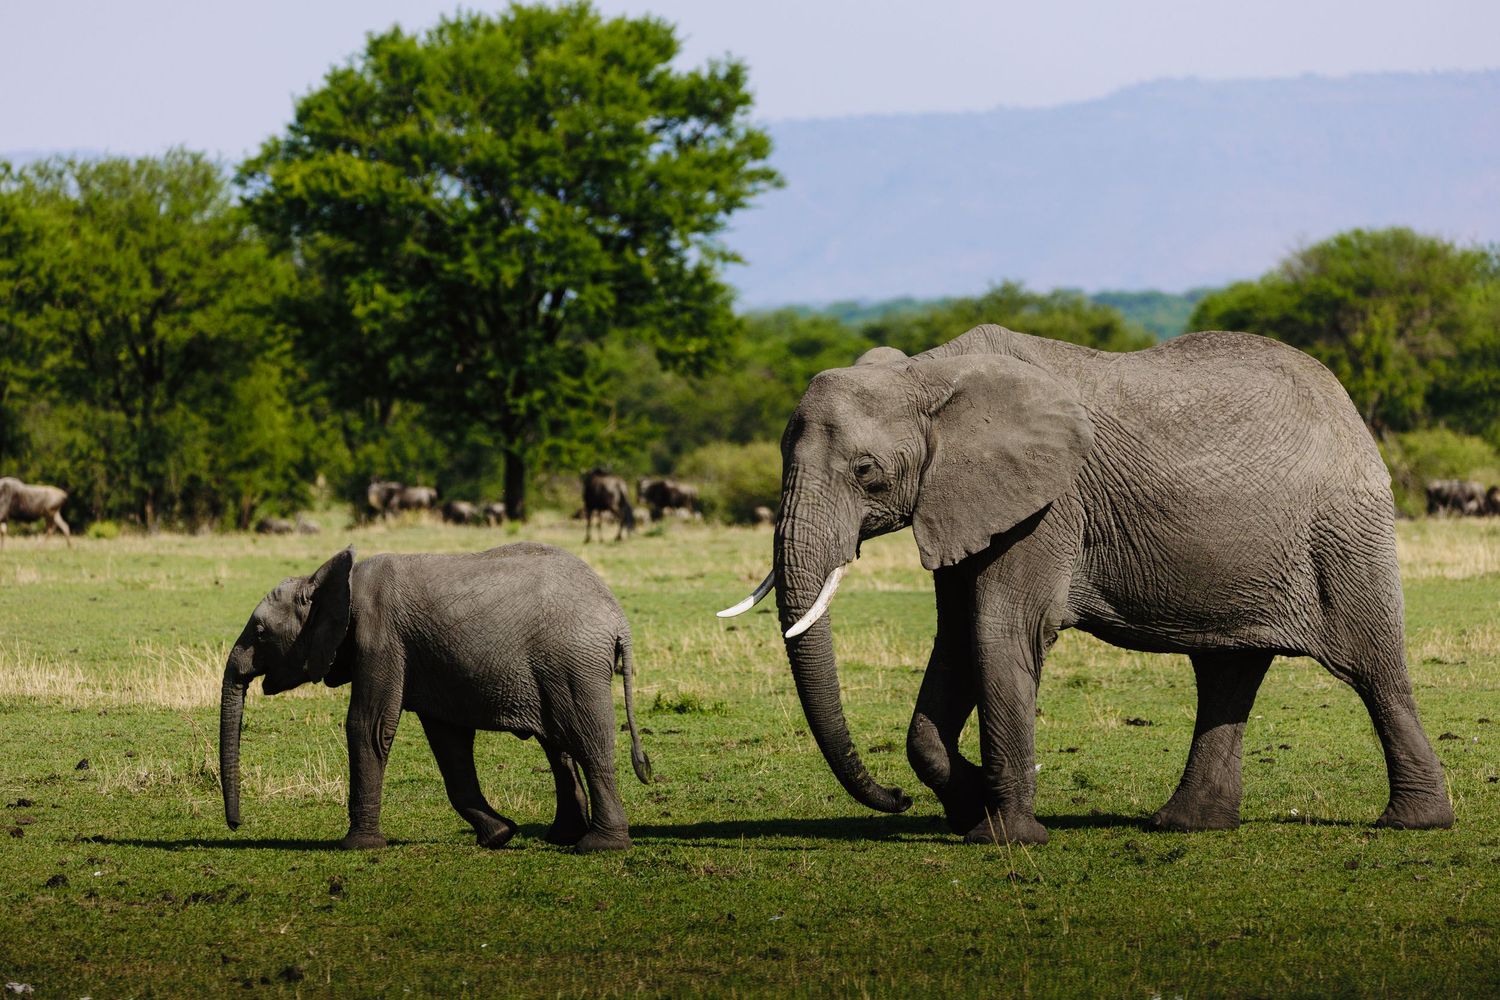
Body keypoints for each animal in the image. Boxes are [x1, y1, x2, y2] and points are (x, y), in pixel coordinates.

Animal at [219, 543, 652, 853]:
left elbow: (369, 727)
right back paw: (562, 837)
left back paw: (599, 847)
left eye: (260, 633)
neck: (333, 581)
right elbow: (448, 742)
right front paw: (499, 835)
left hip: (573, 663)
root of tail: (618, 617)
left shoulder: (380, 640)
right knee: (558, 744)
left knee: (587, 740)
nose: (236, 825)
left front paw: (357, 846)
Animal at [719, 325, 1454, 844]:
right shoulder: (963, 503)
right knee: (1226, 672)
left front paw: (1005, 836)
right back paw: (1186, 825)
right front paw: (967, 802)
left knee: (1372, 667)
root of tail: (1347, 406)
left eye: (866, 472)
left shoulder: (1048, 504)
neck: (927, 374)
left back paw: (1412, 824)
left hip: (1344, 531)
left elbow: (1001, 632)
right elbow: (955, 640)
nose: (894, 801)